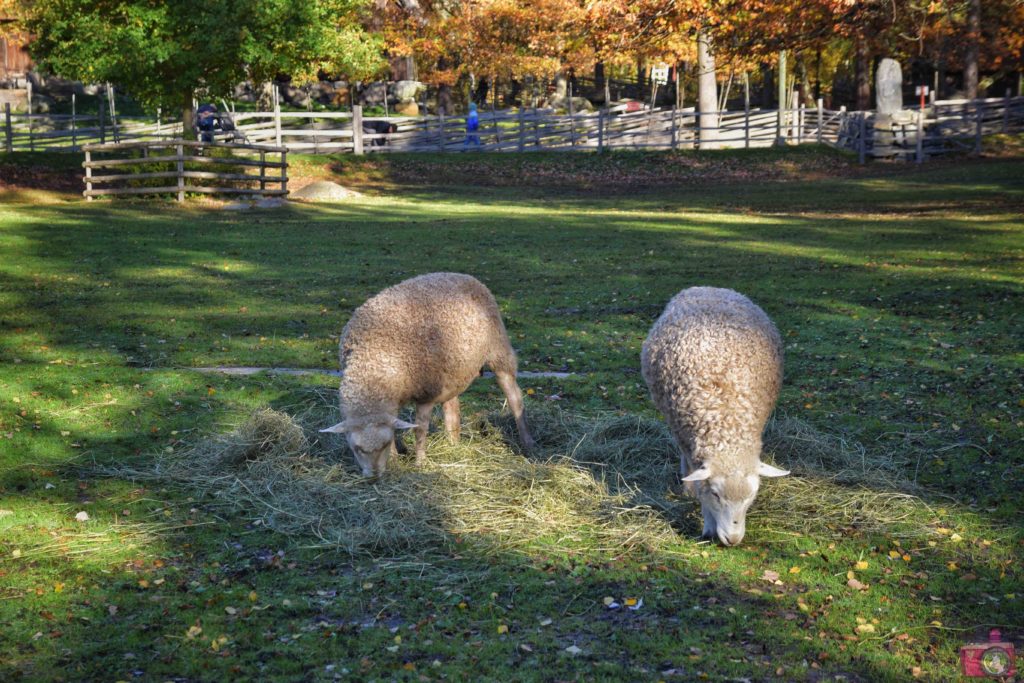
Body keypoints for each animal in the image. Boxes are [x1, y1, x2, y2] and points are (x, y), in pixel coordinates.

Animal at [319, 272, 536, 475]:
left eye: (384, 444)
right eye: (356, 449)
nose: (374, 476)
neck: (372, 362)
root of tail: (464, 275)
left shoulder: (427, 393)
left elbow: (420, 429)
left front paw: (420, 462)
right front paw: (396, 461)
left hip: (498, 353)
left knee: (515, 397)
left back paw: (527, 442)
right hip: (452, 370)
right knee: (452, 407)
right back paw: (453, 444)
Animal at [638, 286, 790, 548]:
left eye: (752, 495)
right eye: (716, 494)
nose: (733, 538)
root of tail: (706, 288)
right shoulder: (688, 439)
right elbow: (700, 485)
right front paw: (707, 524)